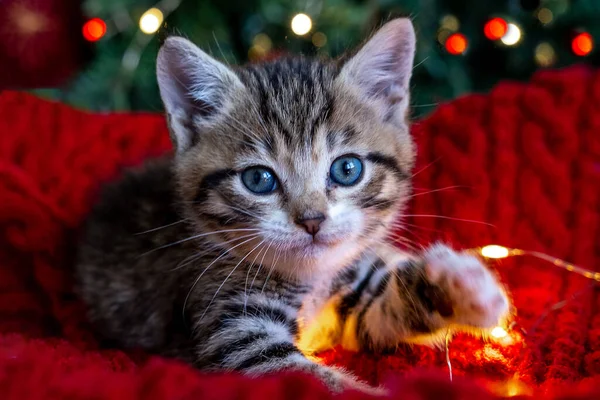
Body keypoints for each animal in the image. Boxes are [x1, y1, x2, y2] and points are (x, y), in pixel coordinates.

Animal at [72, 18, 508, 394]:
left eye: (347, 169)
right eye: (258, 180)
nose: (312, 220)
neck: (311, 278)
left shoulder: (355, 300)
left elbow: (382, 311)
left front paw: (458, 284)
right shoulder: (237, 335)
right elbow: (313, 380)